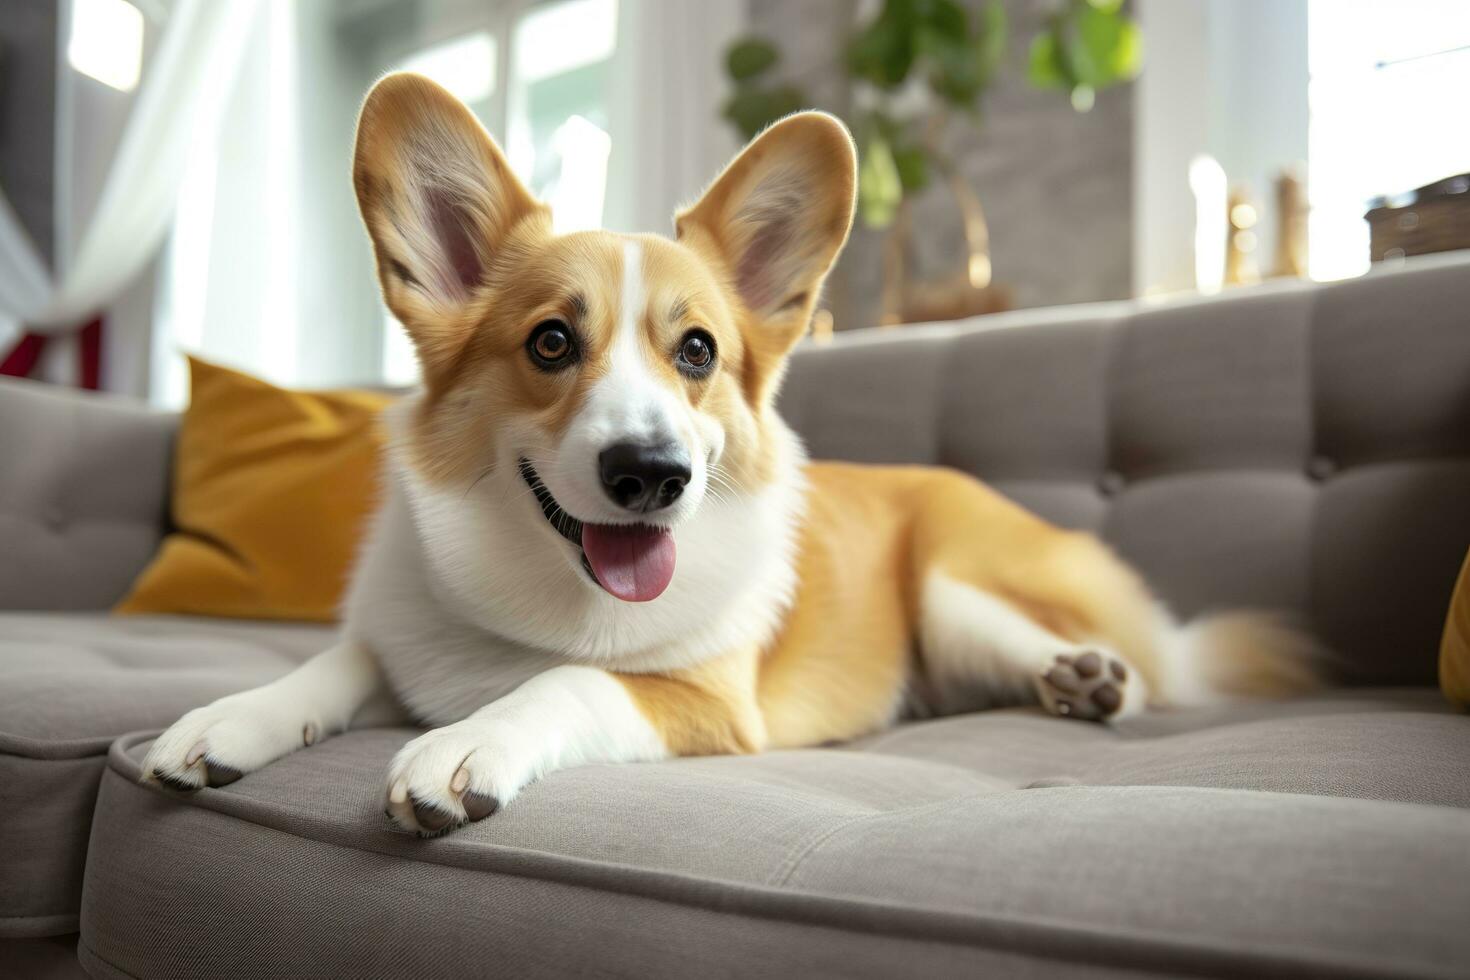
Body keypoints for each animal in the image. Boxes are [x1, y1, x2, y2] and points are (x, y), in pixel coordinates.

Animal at [140, 74, 1323, 834]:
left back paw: (1091, 676)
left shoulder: (705, 702)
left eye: (698, 350)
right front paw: (220, 722)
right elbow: (334, 663)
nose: (652, 476)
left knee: (1121, 662)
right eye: (550, 343)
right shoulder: (395, 641)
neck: (543, 597)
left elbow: (570, 681)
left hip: (952, 580)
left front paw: (466, 746)